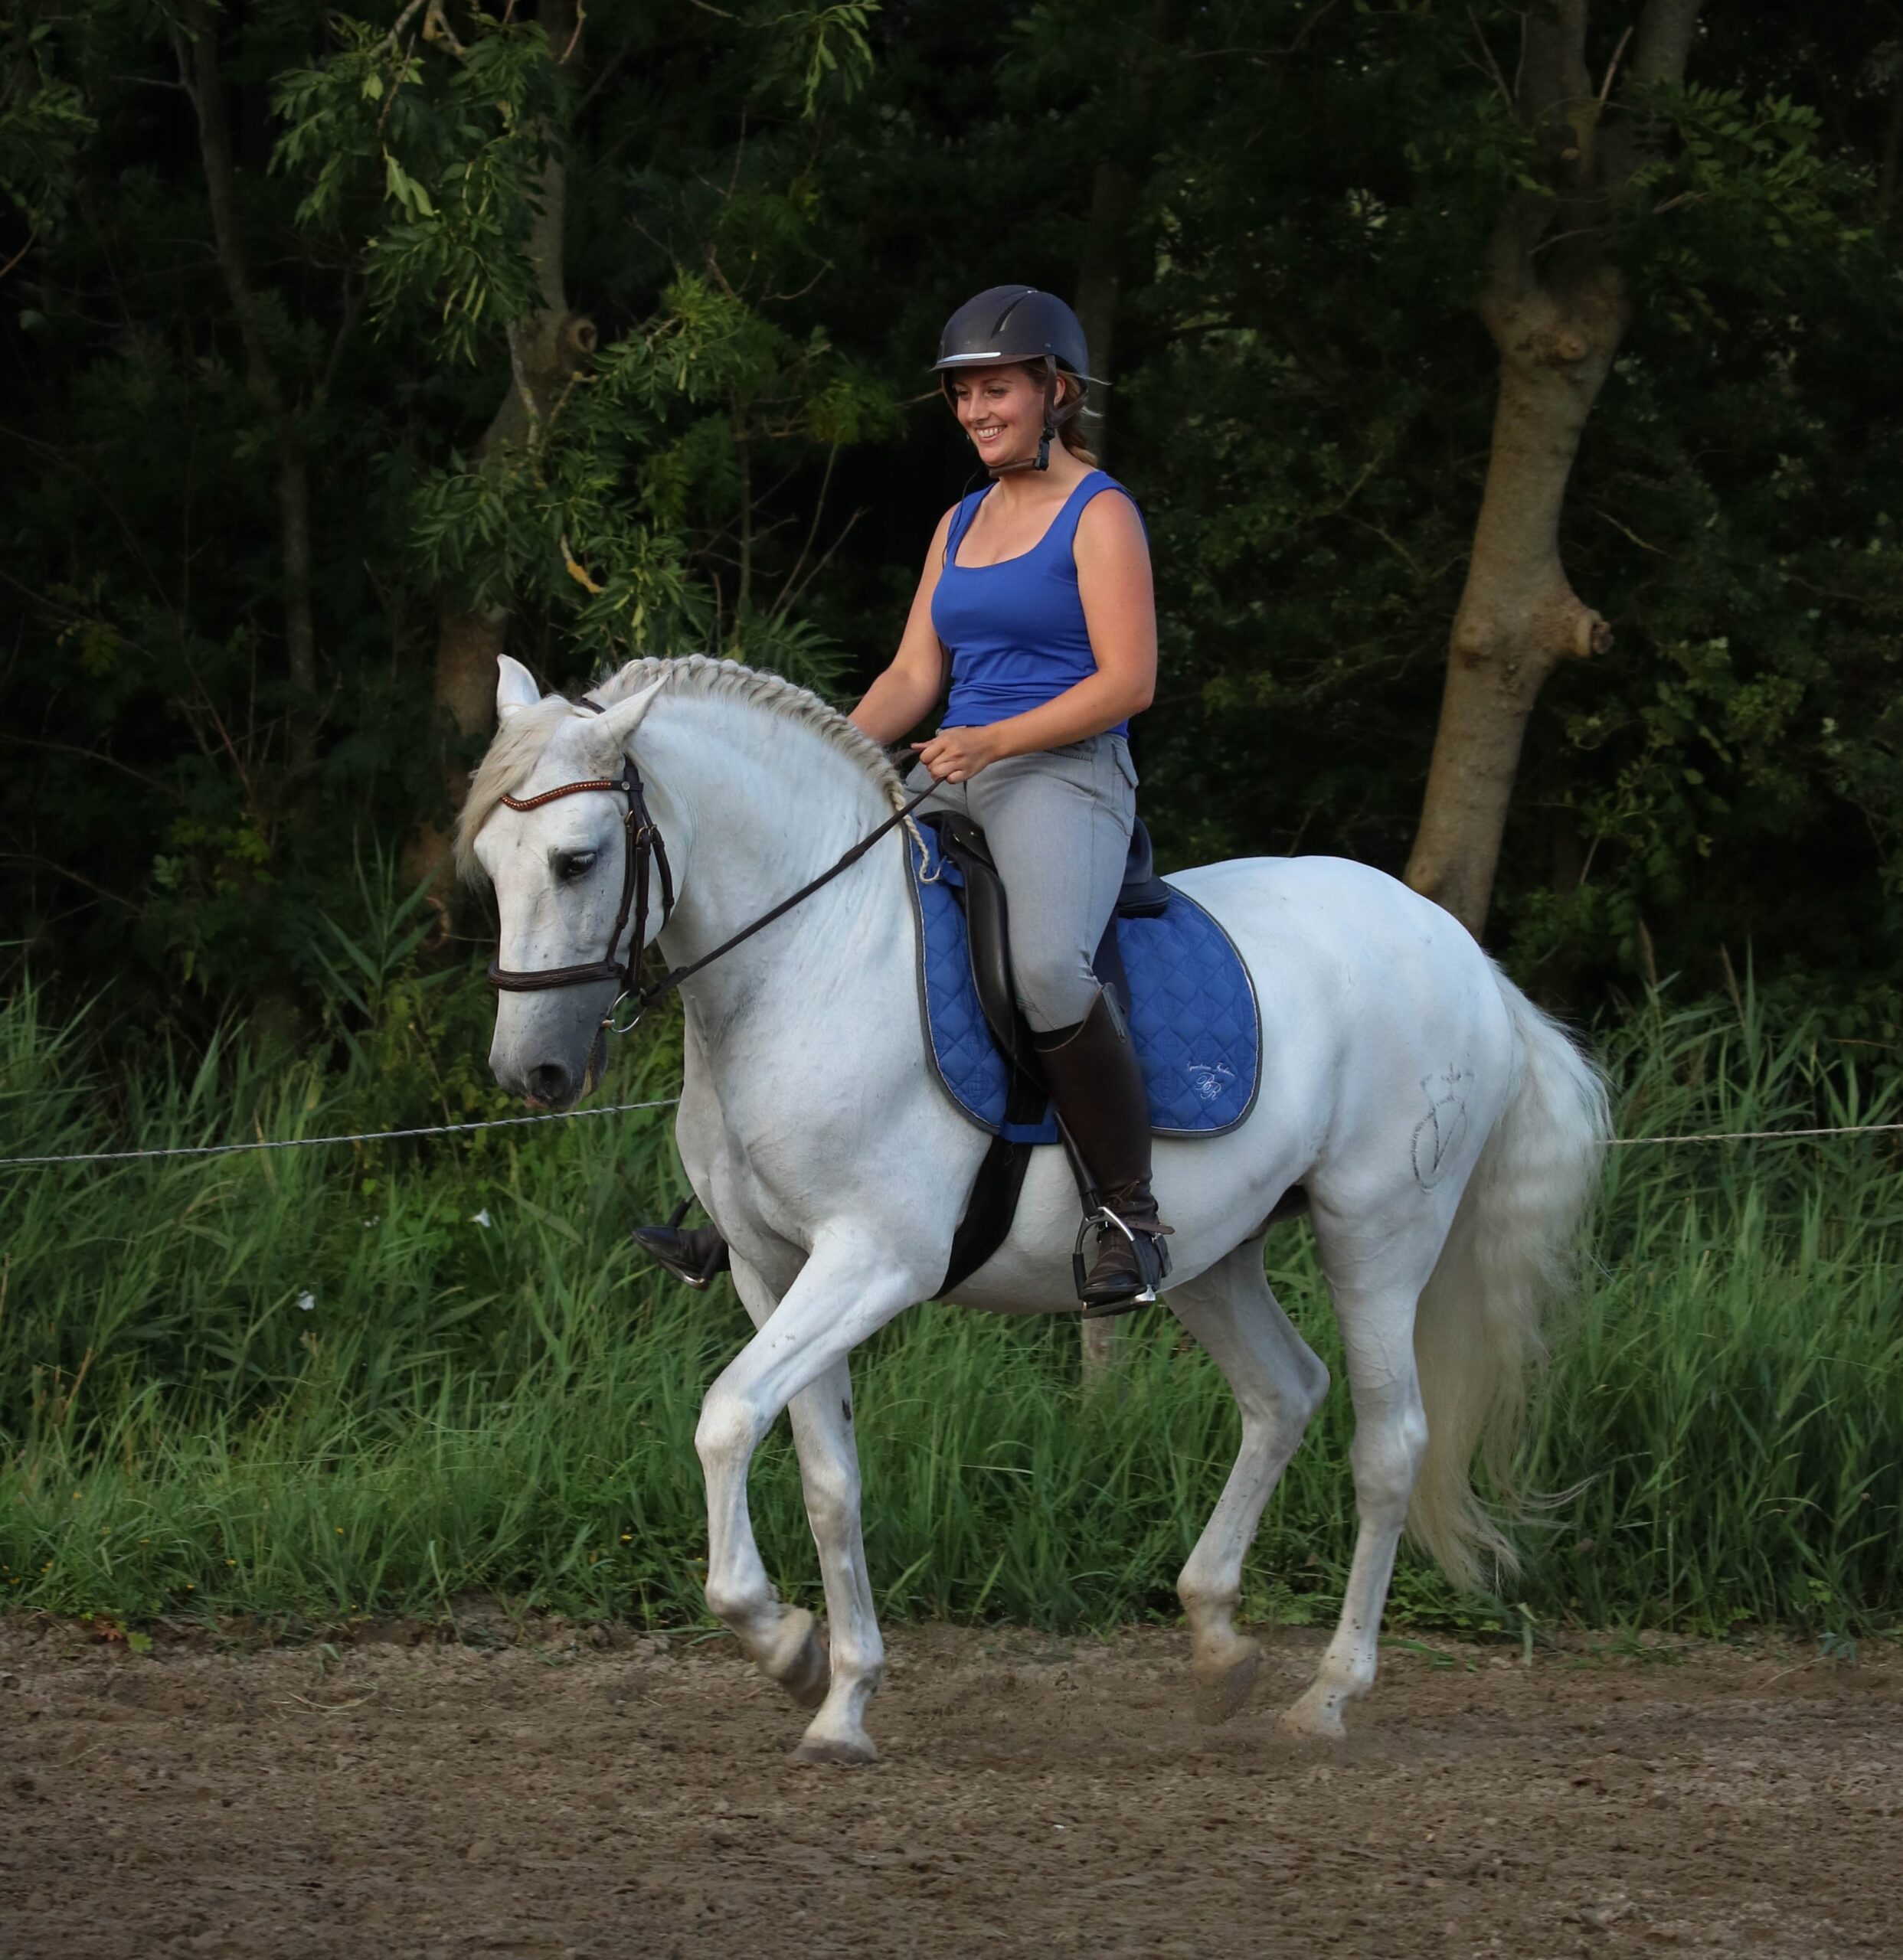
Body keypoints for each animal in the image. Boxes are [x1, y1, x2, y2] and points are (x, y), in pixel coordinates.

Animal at [461, 651, 1608, 1765]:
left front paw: (779, 1638)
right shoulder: (769, 1266)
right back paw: (1218, 1645)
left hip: (1378, 1233)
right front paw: (840, 1697)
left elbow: (728, 1417)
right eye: (489, 866)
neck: (814, 957)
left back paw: (1327, 1695)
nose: (530, 1073)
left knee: (1388, 1444)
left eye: (576, 860)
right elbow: (830, 1479)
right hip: (1210, 1252)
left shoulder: (874, 1259)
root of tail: (1465, 954)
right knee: (1284, 1393)